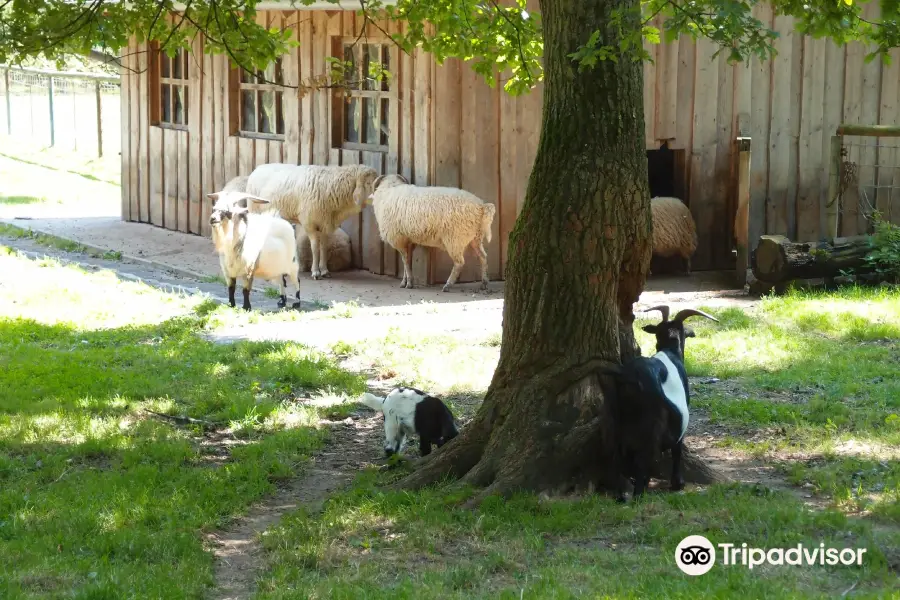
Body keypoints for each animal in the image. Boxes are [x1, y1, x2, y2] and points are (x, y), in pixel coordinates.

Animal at [244, 163, 378, 282]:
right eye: (368, 183)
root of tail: (258, 168)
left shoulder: (325, 225)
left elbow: (324, 247)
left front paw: (324, 270)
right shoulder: (310, 224)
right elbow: (314, 248)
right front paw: (315, 272)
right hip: (254, 210)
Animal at [600, 304, 720, 502]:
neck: (671, 352)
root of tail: (634, 377)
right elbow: (677, 449)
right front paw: (678, 483)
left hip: (622, 419)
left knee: (620, 453)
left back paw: (622, 493)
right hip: (651, 426)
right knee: (643, 456)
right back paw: (638, 493)